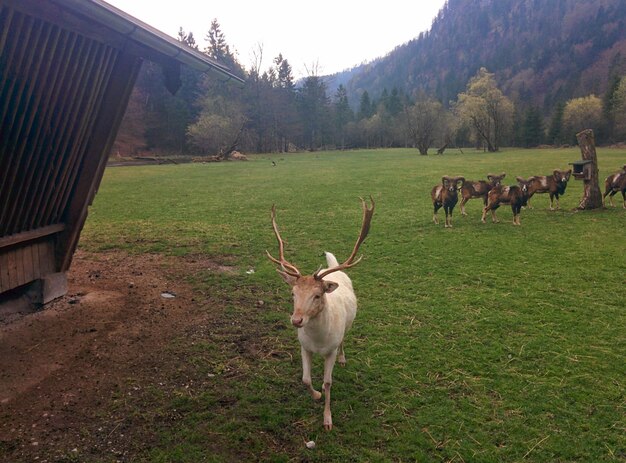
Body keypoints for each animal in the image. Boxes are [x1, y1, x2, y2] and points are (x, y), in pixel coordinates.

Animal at [266, 197, 372, 432]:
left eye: (317, 295)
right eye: (293, 293)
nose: (296, 320)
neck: (318, 342)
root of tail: (335, 270)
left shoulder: (329, 350)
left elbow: (328, 382)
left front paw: (327, 419)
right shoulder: (304, 347)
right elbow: (305, 379)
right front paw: (315, 395)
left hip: (348, 326)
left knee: (343, 341)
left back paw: (343, 358)